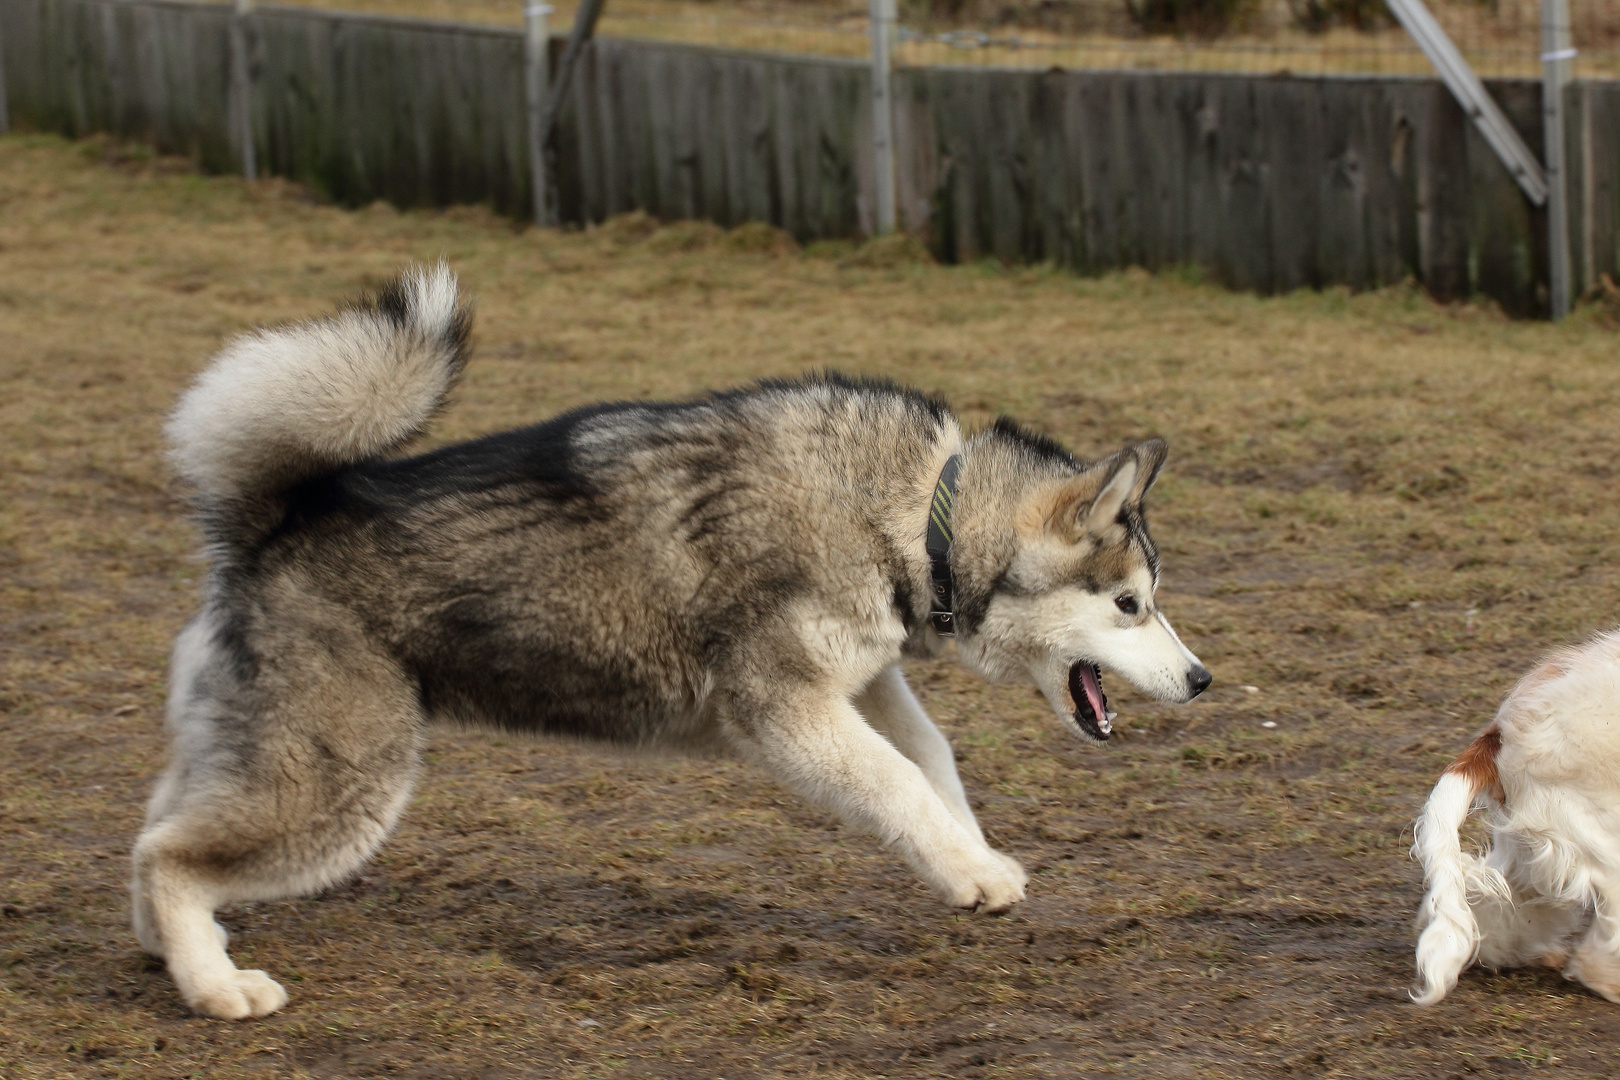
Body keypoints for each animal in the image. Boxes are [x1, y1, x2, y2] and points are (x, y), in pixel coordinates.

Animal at [136, 265, 1205, 1016]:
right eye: (1131, 605)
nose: (1201, 679)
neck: (917, 513)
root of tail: (269, 526)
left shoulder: (861, 684)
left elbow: (932, 763)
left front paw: (972, 861)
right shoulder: (785, 711)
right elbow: (899, 782)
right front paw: (973, 872)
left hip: (260, 759)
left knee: (154, 835)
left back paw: (173, 950)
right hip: (344, 789)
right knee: (169, 856)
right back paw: (217, 988)